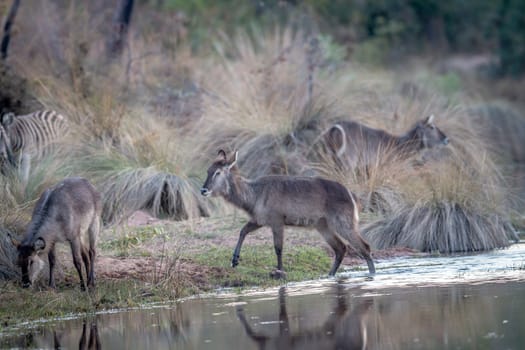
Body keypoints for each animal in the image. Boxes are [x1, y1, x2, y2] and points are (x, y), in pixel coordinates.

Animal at [199, 149, 374, 278]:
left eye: (218, 172)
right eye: (208, 170)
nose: (203, 190)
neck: (255, 195)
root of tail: (351, 195)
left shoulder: (277, 220)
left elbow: (278, 248)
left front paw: (279, 271)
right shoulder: (259, 220)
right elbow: (242, 231)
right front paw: (234, 260)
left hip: (343, 222)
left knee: (364, 246)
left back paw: (372, 274)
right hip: (323, 225)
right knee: (341, 248)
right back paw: (329, 275)